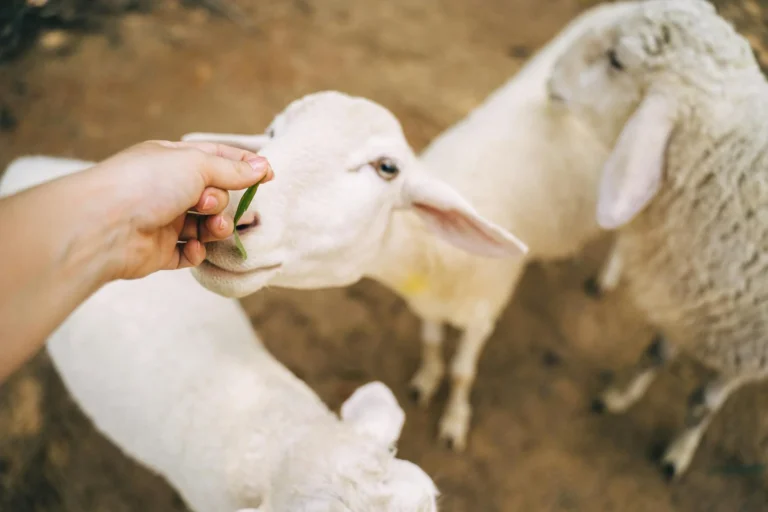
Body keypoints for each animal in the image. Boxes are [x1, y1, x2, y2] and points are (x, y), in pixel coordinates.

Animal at [547, 0, 768, 479]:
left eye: (616, 60)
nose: (551, 75)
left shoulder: (745, 352)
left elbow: (702, 404)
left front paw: (678, 454)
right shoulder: (693, 303)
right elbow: (655, 354)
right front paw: (619, 397)